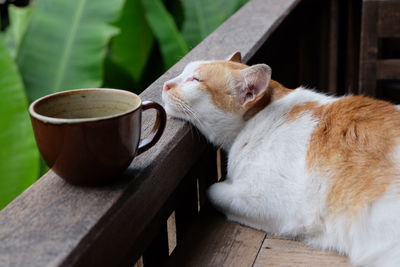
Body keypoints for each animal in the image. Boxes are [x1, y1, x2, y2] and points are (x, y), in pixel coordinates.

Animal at [162, 52, 400, 267]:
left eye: (195, 80)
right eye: (182, 73)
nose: (165, 84)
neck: (260, 116)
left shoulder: (272, 203)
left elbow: (212, 190)